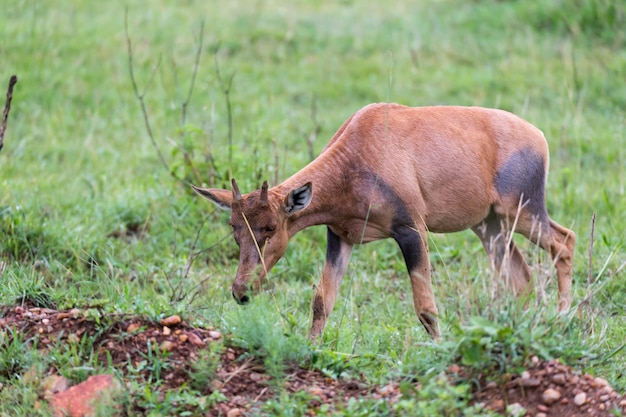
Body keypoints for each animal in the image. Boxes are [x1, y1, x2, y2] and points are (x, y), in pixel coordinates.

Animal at [191, 102, 576, 340]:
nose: (241, 292)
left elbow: (426, 308)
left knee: (564, 241)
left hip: (523, 212)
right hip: (488, 225)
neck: (363, 146)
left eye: (270, 228)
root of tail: (538, 136)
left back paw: (562, 319)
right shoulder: (340, 237)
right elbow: (322, 301)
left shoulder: (410, 231)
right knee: (521, 277)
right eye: (234, 229)